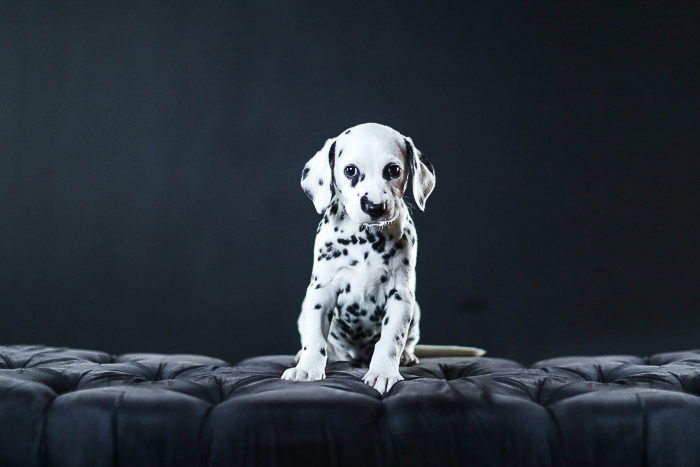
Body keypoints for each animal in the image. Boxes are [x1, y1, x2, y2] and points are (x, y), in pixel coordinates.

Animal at [282, 122, 484, 394]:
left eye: (393, 170)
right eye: (350, 170)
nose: (374, 207)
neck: (364, 239)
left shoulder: (400, 297)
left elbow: (391, 341)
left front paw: (383, 372)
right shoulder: (321, 291)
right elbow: (315, 338)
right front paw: (306, 368)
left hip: (415, 310)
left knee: (408, 342)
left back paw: (407, 356)